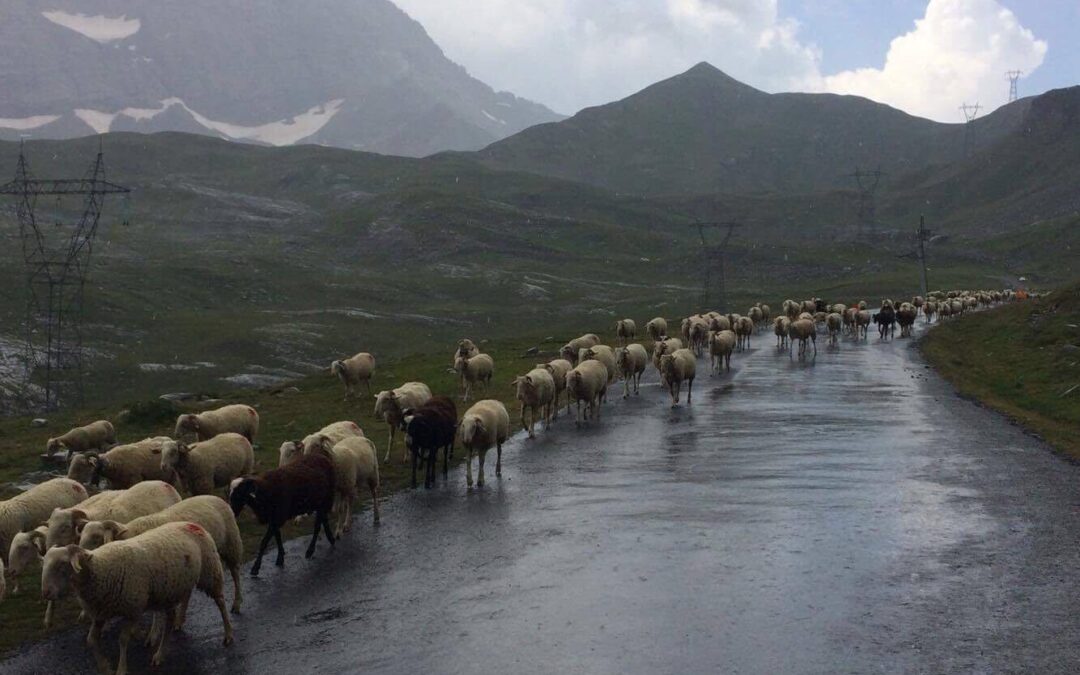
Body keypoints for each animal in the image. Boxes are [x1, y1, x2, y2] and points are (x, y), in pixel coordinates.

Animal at [41, 520, 233, 673]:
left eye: (62, 565)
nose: (46, 593)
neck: (101, 569)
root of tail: (191, 523)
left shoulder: (133, 610)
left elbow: (123, 639)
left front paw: (121, 669)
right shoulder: (100, 613)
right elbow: (91, 640)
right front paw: (105, 667)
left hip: (210, 572)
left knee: (220, 602)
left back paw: (228, 634)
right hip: (170, 588)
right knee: (172, 616)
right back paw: (161, 651)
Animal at [76, 492, 245, 613]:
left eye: (96, 537)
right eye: (81, 535)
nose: (81, 553)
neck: (130, 534)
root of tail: (213, 496)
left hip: (231, 543)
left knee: (235, 572)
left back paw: (237, 603)